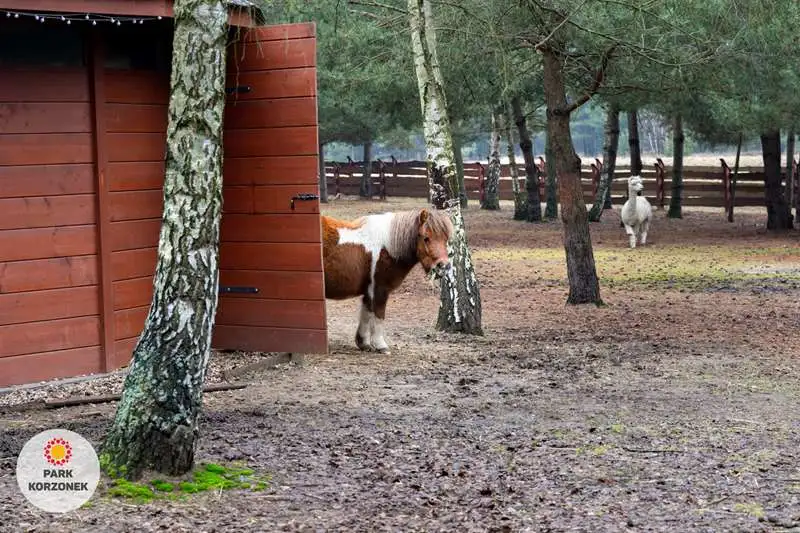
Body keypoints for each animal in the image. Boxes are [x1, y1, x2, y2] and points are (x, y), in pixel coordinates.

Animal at [321, 207, 453, 354]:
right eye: (426, 238)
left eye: (446, 239)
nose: (444, 266)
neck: (387, 247)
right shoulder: (380, 289)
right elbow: (379, 315)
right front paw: (381, 345)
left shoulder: (369, 290)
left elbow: (367, 313)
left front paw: (364, 343)